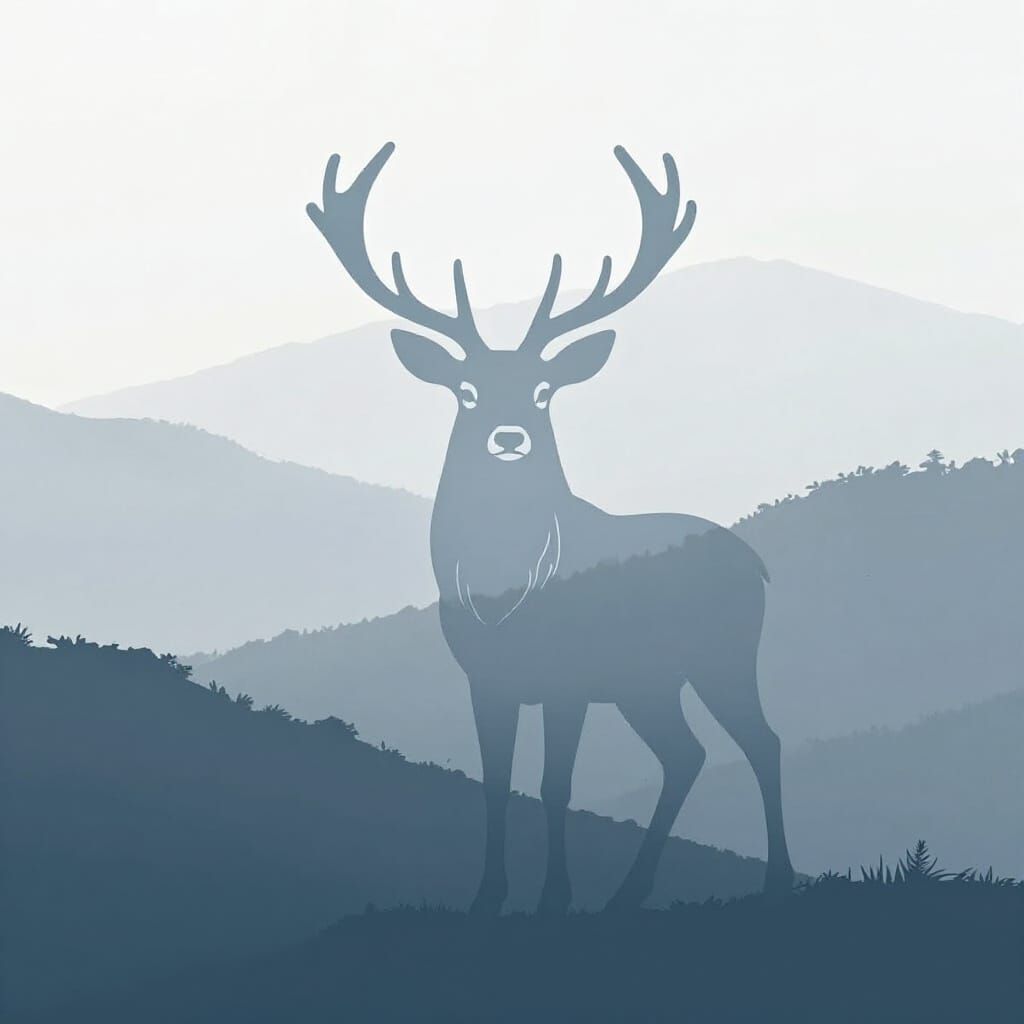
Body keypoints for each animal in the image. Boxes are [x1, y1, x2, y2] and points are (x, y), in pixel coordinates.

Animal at [307, 142, 794, 915]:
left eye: (542, 390)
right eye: (466, 390)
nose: (508, 437)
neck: (505, 593)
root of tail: (757, 561)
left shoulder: (568, 678)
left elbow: (554, 783)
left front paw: (554, 898)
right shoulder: (485, 678)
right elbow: (497, 783)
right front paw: (487, 897)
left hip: (723, 653)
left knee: (761, 741)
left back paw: (776, 880)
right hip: (645, 682)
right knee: (685, 753)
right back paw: (629, 893)